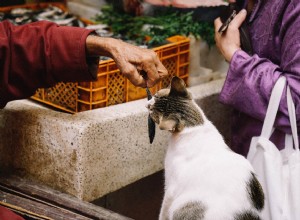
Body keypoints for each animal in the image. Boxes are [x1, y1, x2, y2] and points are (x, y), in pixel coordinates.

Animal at [146, 76, 264, 220]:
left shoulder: (170, 188)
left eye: (152, 112)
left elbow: (163, 211)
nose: (147, 104)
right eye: (156, 95)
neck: (196, 126)